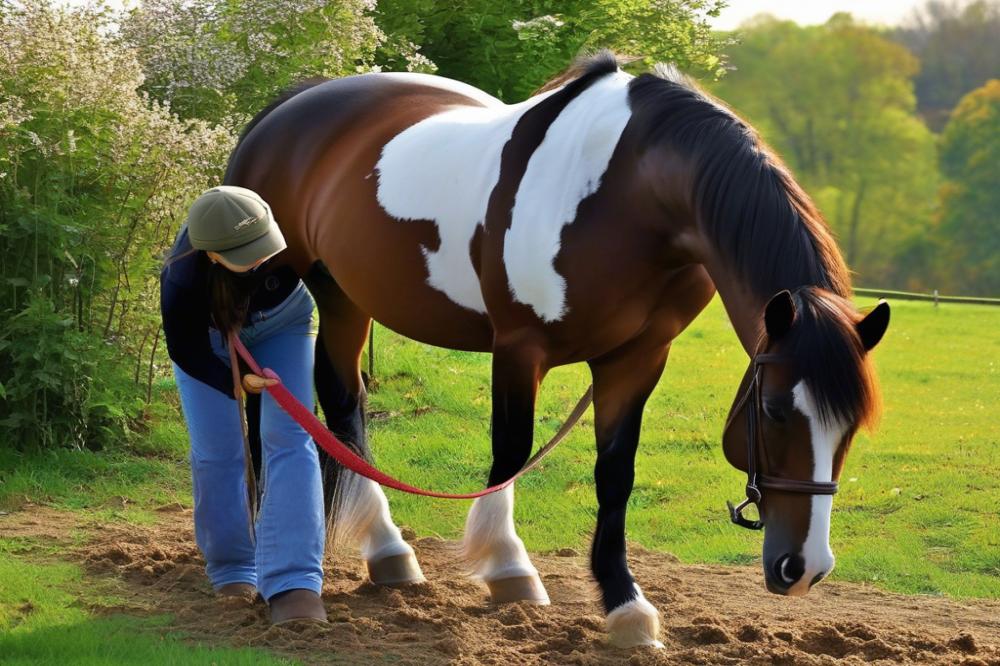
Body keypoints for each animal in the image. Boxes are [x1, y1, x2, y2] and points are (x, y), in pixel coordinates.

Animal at [225, 53, 892, 648]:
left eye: (852, 426)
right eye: (775, 411)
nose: (803, 569)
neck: (628, 195)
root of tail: (289, 107)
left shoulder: (637, 358)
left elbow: (615, 474)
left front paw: (626, 605)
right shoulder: (521, 348)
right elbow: (512, 451)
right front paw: (508, 568)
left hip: (343, 296)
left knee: (342, 402)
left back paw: (388, 551)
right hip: (270, 290)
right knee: (270, 400)